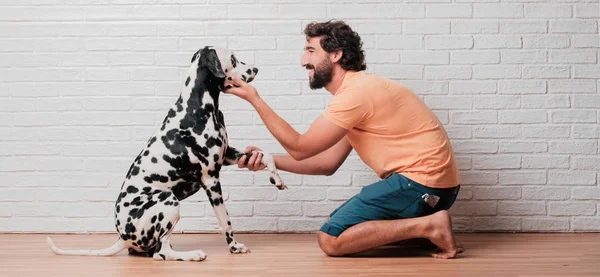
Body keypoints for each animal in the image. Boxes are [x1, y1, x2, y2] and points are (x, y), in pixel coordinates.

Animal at [48, 45, 288, 260]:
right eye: (234, 59)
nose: (256, 69)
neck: (198, 108)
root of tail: (122, 236)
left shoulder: (227, 155)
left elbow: (266, 154)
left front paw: (277, 179)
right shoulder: (211, 179)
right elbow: (225, 220)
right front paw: (234, 246)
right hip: (168, 200)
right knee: (161, 253)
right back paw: (193, 255)